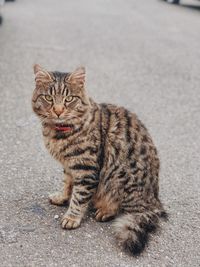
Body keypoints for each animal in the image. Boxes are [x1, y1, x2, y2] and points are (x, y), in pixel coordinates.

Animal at [32, 64, 166, 255]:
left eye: (69, 99)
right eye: (48, 98)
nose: (58, 111)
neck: (59, 133)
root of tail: (154, 200)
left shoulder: (86, 169)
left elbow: (79, 197)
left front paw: (72, 218)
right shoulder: (70, 166)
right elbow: (67, 184)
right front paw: (61, 197)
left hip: (119, 178)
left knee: (125, 209)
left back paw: (104, 211)